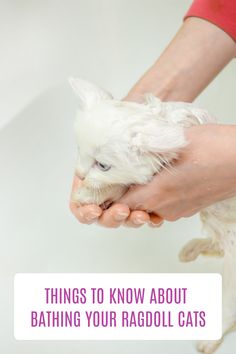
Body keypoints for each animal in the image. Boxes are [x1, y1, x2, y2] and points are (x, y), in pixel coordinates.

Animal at [69, 78, 236, 354]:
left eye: (102, 165)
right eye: (78, 150)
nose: (80, 175)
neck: (166, 121)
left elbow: (123, 184)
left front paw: (90, 194)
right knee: (217, 243)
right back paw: (193, 249)